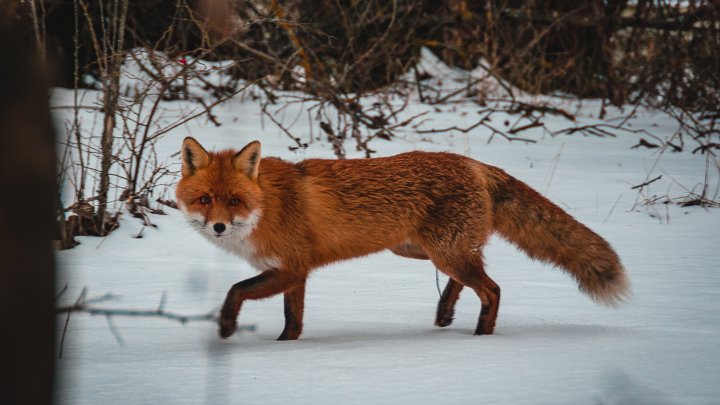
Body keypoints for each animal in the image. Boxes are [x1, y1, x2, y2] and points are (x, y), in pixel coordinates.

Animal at [176, 137, 632, 340]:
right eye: (205, 200)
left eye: (234, 201)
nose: (218, 227)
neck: (266, 205)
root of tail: (474, 163)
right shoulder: (296, 273)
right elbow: (294, 320)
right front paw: (286, 347)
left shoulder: (290, 267)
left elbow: (235, 290)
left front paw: (227, 327)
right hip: (421, 249)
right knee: (471, 277)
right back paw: (445, 314)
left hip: (441, 251)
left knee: (492, 289)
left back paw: (481, 338)